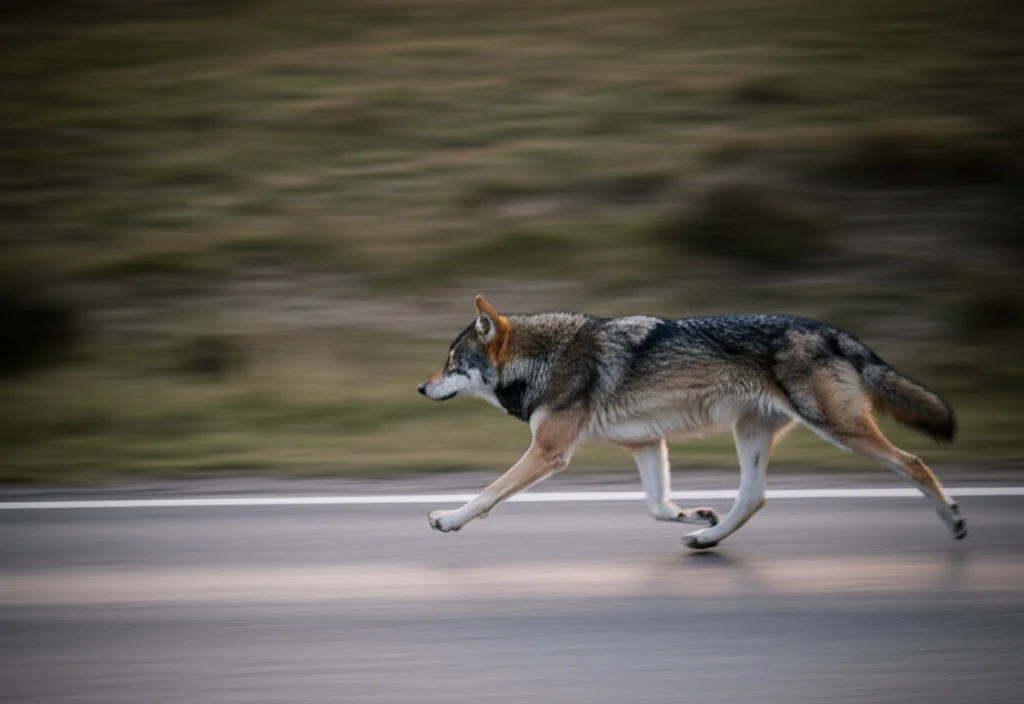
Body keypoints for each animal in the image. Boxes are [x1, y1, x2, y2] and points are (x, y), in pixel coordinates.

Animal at [417, 296, 965, 549]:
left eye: (450, 363)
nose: (420, 389)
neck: (544, 360)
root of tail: (833, 332)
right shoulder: (646, 445)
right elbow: (658, 506)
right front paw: (694, 515)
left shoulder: (550, 453)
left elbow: (489, 492)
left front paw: (448, 519)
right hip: (750, 435)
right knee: (753, 498)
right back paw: (708, 538)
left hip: (838, 429)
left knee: (914, 462)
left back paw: (955, 520)